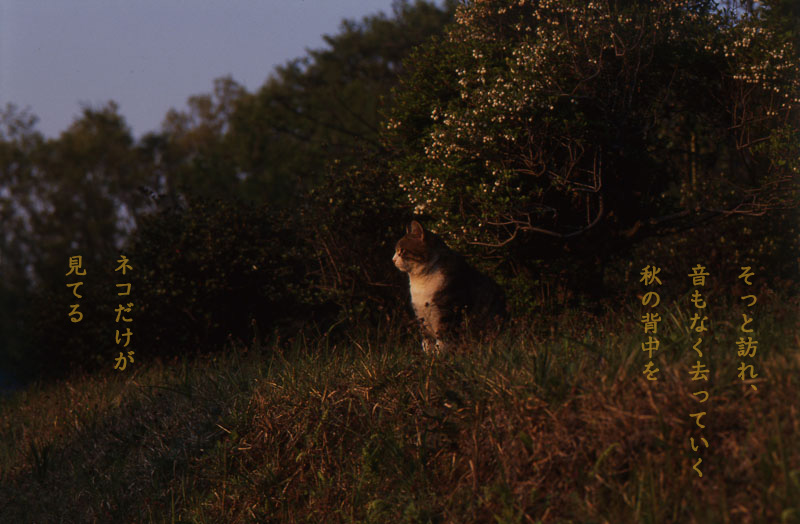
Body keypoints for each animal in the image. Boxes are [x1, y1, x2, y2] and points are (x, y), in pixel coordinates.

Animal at [392, 220, 507, 352]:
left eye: (402, 250)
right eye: (396, 250)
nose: (393, 260)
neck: (421, 280)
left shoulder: (446, 315)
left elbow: (441, 344)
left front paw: (439, 357)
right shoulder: (421, 317)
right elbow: (427, 344)